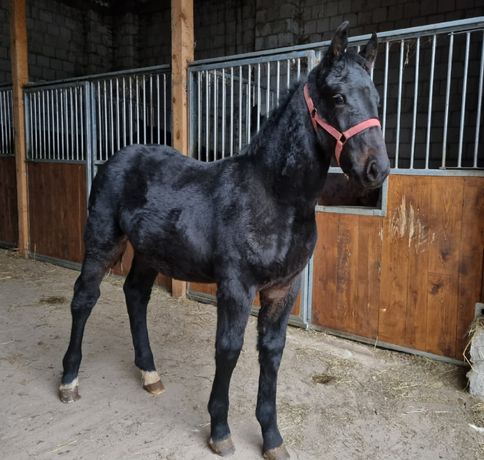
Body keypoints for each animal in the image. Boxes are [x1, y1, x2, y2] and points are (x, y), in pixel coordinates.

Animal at [59, 22, 390, 460]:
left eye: (376, 99)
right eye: (337, 97)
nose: (377, 169)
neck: (274, 196)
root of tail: (119, 156)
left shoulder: (283, 290)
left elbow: (272, 353)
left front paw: (272, 438)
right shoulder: (236, 286)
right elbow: (228, 349)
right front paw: (219, 431)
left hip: (150, 252)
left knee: (135, 295)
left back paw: (150, 374)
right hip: (102, 240)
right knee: (85, 297)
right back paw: (69, 379)